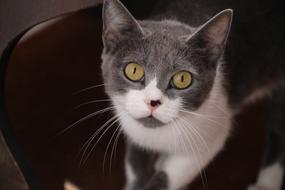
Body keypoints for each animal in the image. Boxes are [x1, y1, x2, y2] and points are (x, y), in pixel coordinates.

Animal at [100, 0, 284, 190]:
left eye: (182, 79)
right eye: (134, 70)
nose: (153, 101)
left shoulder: (211, 133)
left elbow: (168, 175)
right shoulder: (133, 127)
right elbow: (136, 164)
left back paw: (266, 184)